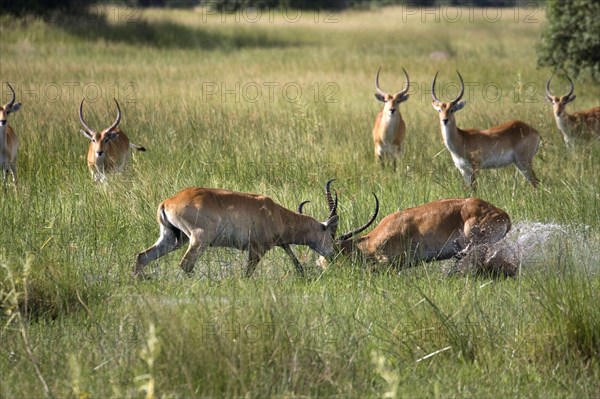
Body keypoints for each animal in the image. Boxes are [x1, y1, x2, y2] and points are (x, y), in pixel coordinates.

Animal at [135, 181, 380, 278]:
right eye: (331, 234)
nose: (335, 255)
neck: (276, 213)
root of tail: (167, 201)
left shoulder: (279, 243)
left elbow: (294, 260)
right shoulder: (257, 248)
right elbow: (248, 272)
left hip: (173, 239)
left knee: (142, 256)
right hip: (197, 240)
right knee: (186, 264)